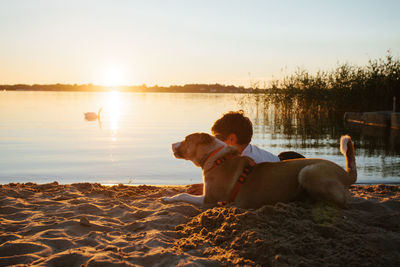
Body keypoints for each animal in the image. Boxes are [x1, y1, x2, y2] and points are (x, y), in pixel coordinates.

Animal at [162, 133, 356, 209]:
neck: (216, 157)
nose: (171, 144)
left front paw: (168, 198)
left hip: (308, 172)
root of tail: (345, 174)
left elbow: (183, 195)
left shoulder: (209, 199)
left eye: (186, 139)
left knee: (341, 201)